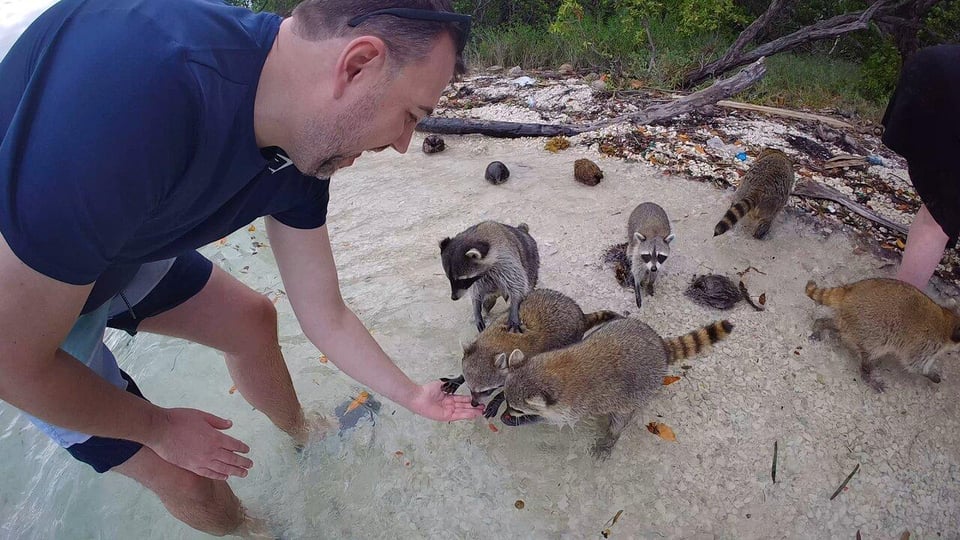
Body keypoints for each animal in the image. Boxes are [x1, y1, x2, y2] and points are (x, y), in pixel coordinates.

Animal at [440, 288, 621, 417]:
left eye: (486, 391)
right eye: (471, 388)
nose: (473, 404)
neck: (495, 343)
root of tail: (580, 314)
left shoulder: (522, 365)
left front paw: (498, 400)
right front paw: (458, 378)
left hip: (572, 335)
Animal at [499, 318, 733, 459]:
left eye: (517, 409)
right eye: (505, 399)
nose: (506, 414)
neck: (552, 371)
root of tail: (660, 345)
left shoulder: (578, 405)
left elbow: (563, 420)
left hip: (641, 389)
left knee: (623, 414)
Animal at [806, 278, 960, 391]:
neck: (947, 322)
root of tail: (850, 292)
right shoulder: (925, 343)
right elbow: (914, 364)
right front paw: (929, 373)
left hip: (852, 319)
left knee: (839, 326)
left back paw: (821, 324)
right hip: (872, 327)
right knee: (871, 350)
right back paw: (866, 371)